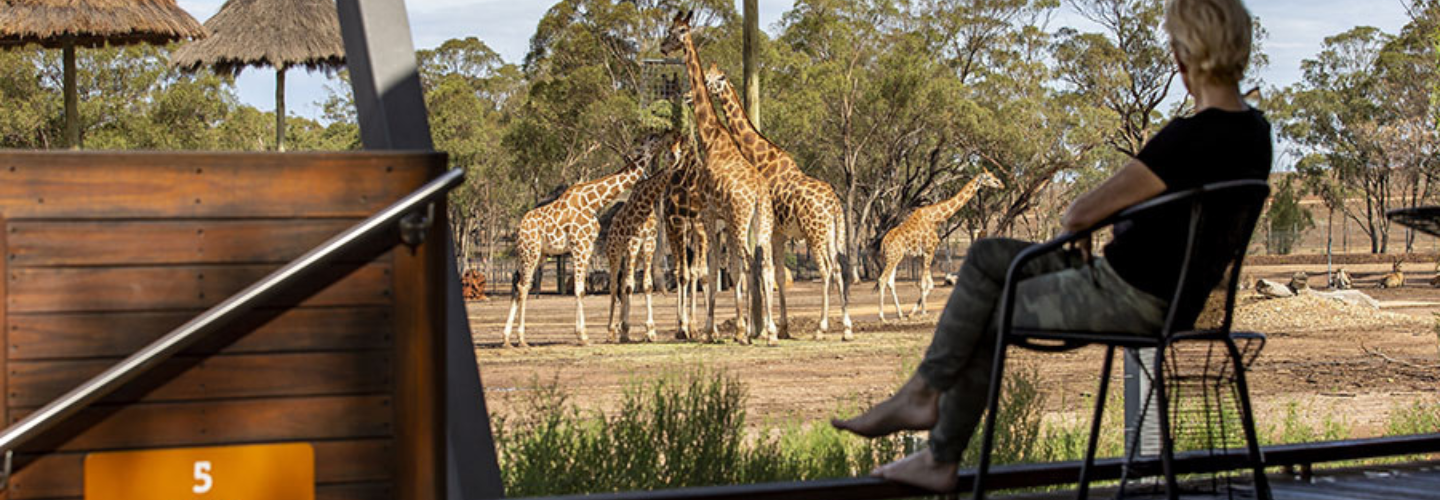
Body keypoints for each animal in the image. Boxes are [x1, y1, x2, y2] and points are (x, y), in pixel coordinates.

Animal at [501, 131, 673, 347]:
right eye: (651, 139)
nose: (666, 135)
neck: (594, 201)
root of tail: (519, 228)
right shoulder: (579, 246)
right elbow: (579, 289)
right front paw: (582, 335)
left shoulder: (588, 247)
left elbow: (583, 288)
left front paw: (584, 334)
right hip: (530, 252)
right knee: (523, 286)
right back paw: (522, 339)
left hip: (537, 254)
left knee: (518, 284)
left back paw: (506, 338)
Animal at [599, 136, 682, 344]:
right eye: (667, 151)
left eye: (679, 149)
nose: (674, 156)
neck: (646, 203)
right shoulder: (633, 242)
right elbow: (630, 286)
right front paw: (627, 329)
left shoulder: (649, 243)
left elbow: (645, 285)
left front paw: (650, 331)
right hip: (615, 252)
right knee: (614, 286)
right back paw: (611, 330)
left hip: (633, 256)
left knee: (623, 283)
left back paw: (620, 328)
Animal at [659, 12, 783, 348]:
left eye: (676, 31)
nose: (663, 46)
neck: (712, 136)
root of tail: (758, 193)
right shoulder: (718, 220)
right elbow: (723, 270)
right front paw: (733, 328)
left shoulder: (709, 215)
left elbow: (713, 269)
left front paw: (711, 330)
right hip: (762, 222)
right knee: (765, 264)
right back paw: (770, 332)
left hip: (740, 221)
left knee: (749, 263)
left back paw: (754, 332)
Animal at [708, 65, 852, 341]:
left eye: (716, 80)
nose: (689, 95)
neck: (761, 157)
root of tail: (834, 204)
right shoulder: (781, 234)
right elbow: (775, 273)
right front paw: (781, 328)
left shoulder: (772, 231)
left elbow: (765, 272)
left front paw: (764, 329)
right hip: (832, 234)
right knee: (839, 269)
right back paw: (847, 328)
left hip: (814, 234)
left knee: (826, 270)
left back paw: (821, 327)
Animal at [869, 170, 1008, 321]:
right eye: (989, 178)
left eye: (994, 176)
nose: (1001, 184)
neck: (936, 218)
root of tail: (883, 243)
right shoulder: (929, 250)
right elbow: (924, 284)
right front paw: (923, 312)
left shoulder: (921, 255)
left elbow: (930, 284)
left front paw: (913, 312)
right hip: (893, 257)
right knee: (882, 280)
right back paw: (882, 316)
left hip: (895, 258)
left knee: (890, 282)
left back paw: (900, 314)